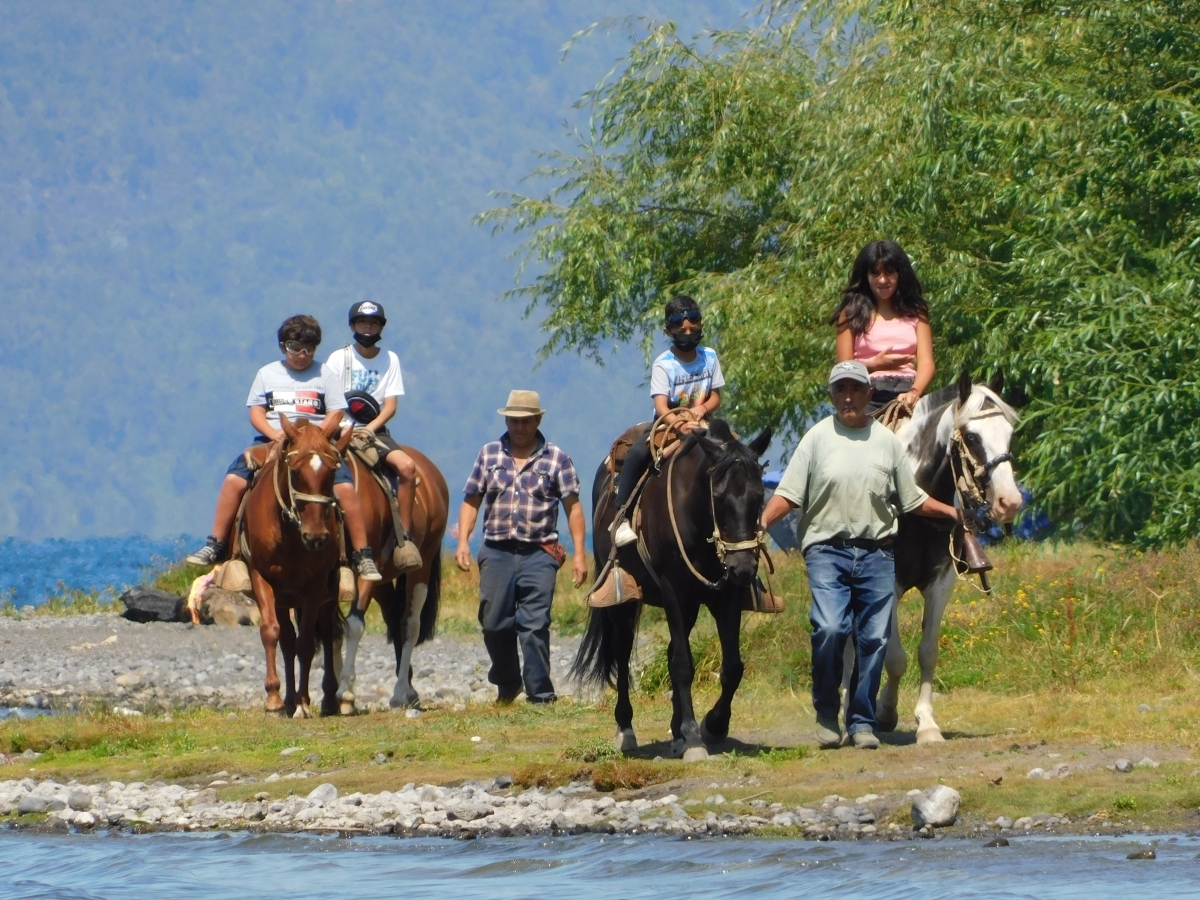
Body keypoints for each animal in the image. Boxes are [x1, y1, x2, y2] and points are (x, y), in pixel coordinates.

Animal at [241, 415, 352, 720]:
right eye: (295, 472)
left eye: (331, 474)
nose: (316, 537)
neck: (289, 534)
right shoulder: (261, 577)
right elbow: (272, 632)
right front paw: (274, 699)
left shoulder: (315, 587)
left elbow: (306, 644)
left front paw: (303, 702)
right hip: (283, 597)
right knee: (286, 641)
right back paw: (287, 700)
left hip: (326, 595)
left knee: (326, 633)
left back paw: (326, 700)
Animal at [338, 444, 451, 710]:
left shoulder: (367, 569)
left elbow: (354, 625)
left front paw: (345, 692)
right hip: (383, 580)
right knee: (394, 619)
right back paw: (409, 690)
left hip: (420, 568)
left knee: (409, 625)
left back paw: (401, 692)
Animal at [568, 422, 768, 763]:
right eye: (718, 496)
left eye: (760, 494)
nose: (743, 566)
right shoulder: (673, 591)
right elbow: (683, 666)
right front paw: (694, 739)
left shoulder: (726, 595)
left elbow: (731, 666)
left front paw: (713, 726)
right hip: (624, 601)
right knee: (623, 652)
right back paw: (626, 731)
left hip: (689, 607)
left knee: (672, 649)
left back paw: (676, 734)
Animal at [868, 369, 1017, 744]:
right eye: (972, 436)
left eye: (1009, 432)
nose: (1010, 502)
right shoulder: (889, 583)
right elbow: (894, 656)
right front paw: (885, 711)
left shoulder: (941, 583)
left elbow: (928, 652)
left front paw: (927, 723)